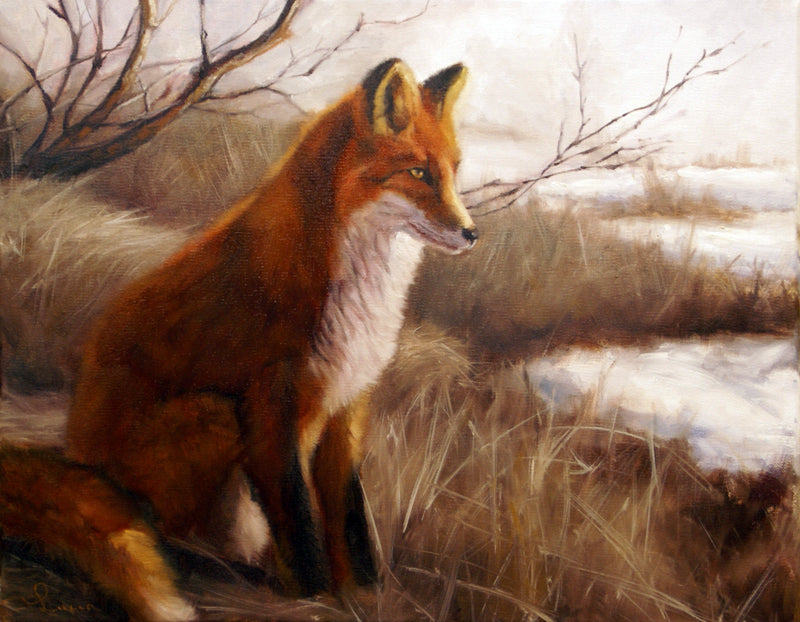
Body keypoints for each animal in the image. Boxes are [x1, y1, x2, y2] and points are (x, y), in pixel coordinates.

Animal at [0, 58, 476, 620]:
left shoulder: (348, 404)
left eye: (453, 170)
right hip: (215, 413)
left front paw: (362, 592)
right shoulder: (273, 407)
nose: (471, 234)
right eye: (418, 173)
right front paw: (314, 595)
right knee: (162, 528)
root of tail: (79, 456)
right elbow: (299, 521)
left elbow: (350, 518)